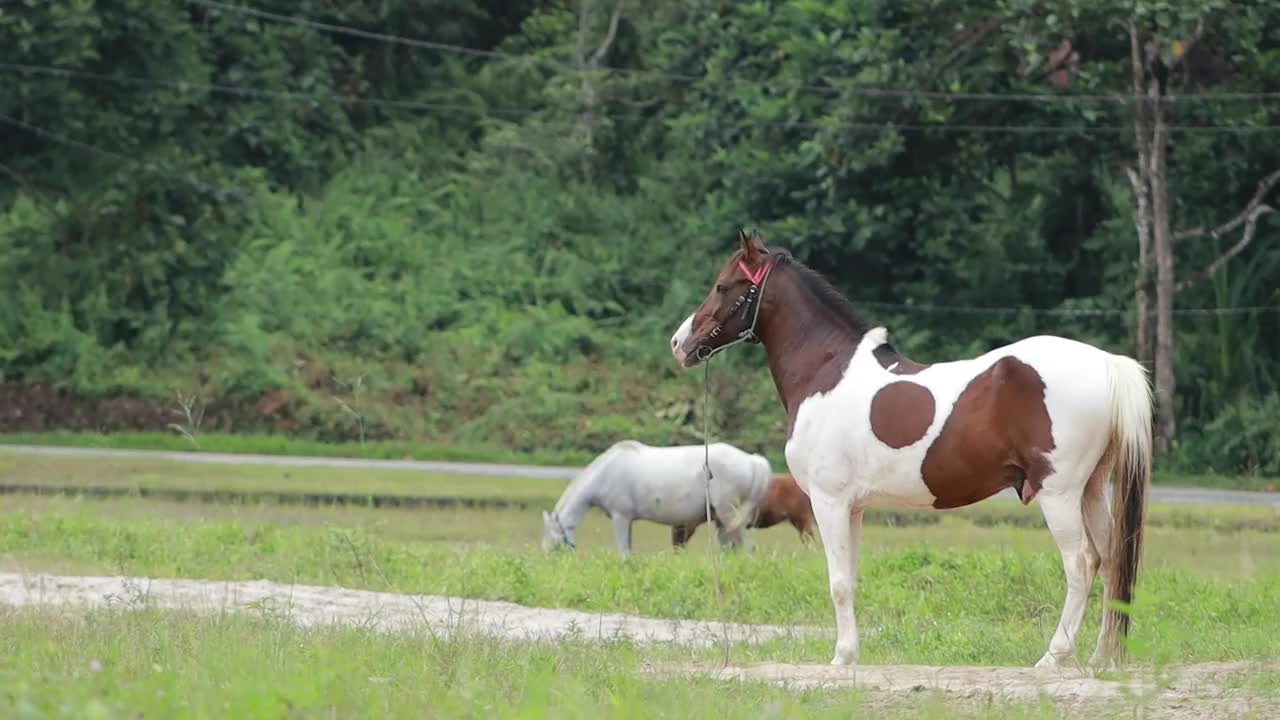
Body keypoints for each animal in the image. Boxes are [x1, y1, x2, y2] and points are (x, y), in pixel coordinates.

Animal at [540, 435, 768, 550]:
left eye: (553, 540)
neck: (606, 472)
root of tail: (753, 460)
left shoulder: (621, 517)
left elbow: (624, 552)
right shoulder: (627, 521)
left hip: (727, 511)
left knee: (746, 547)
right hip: (721, 517)